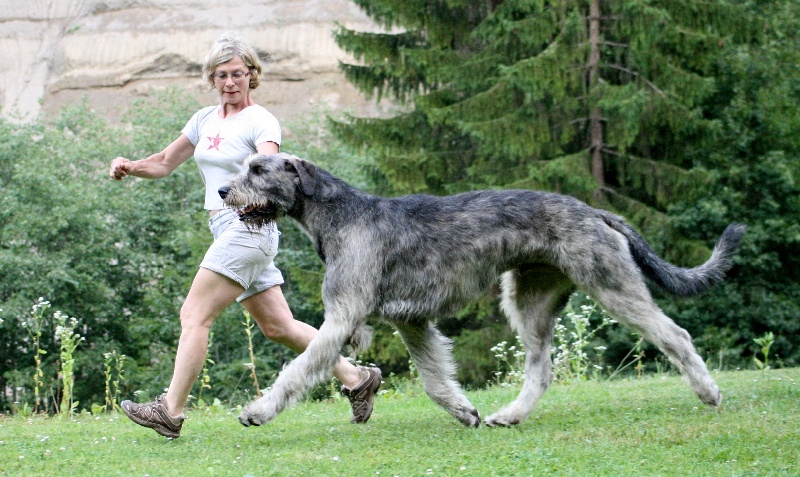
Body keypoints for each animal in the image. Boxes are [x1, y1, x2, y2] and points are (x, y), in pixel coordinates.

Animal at [219, 153, 745, 428]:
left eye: (259, 169)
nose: (224, 192)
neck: (340, 214)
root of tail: (595, 211)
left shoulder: (344, 315)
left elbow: (298, 369)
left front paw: (259, 410)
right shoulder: (411, 320)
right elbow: (434, 379)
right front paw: (463, 410)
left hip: (612, 285)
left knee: (675, 334)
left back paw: (710, 393)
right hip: (528, 301)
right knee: (541, 369)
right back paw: (509, 415)